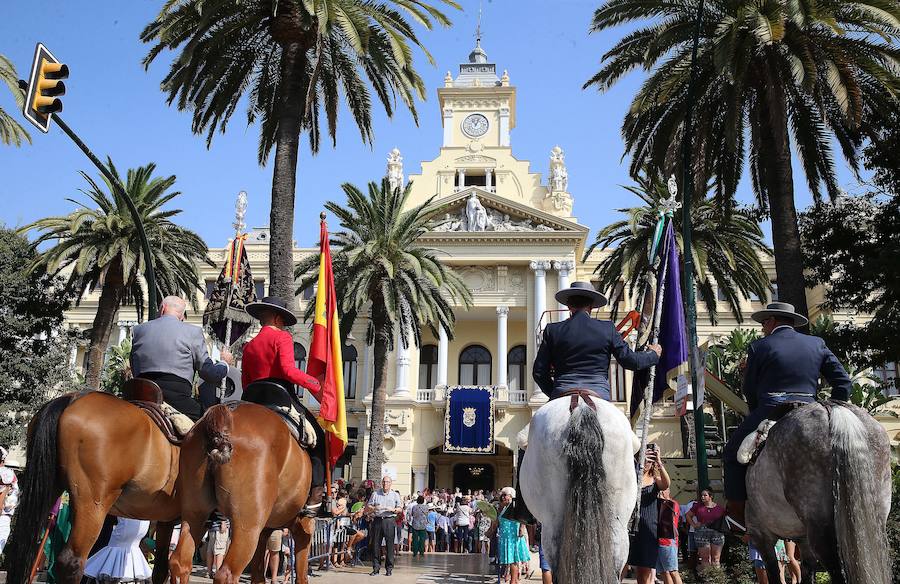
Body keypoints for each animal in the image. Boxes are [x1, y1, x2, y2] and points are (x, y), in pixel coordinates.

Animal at [170, 404, 316, 584]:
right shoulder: (302, 528)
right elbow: (301, 572)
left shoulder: (265, 531)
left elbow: (259, 574)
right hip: (247, 528)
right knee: (226, 574)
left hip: (195, 515)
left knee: (179, 562)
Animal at [748, 402, 888, 584]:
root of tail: (830, 407)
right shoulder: (803, 541)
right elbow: (807, 572)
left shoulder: (760, 535)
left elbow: (774, 573)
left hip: (821, 529)